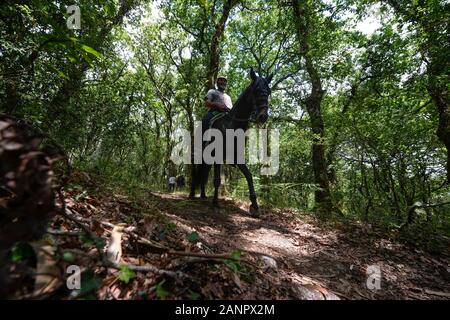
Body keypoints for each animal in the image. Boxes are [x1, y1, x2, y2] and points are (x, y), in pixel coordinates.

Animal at [189, 68, 272, 216]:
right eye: (256, 89)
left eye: (268, 91)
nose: (263, 116)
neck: (231, 125)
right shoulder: (217, 156)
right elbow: (217, 180)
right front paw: (216, 203)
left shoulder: (237, 157)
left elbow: (249, 176)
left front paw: (255, 206)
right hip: (199, 155)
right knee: (197, 172)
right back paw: (192, 194)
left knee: (204, 174)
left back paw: (203, 195)